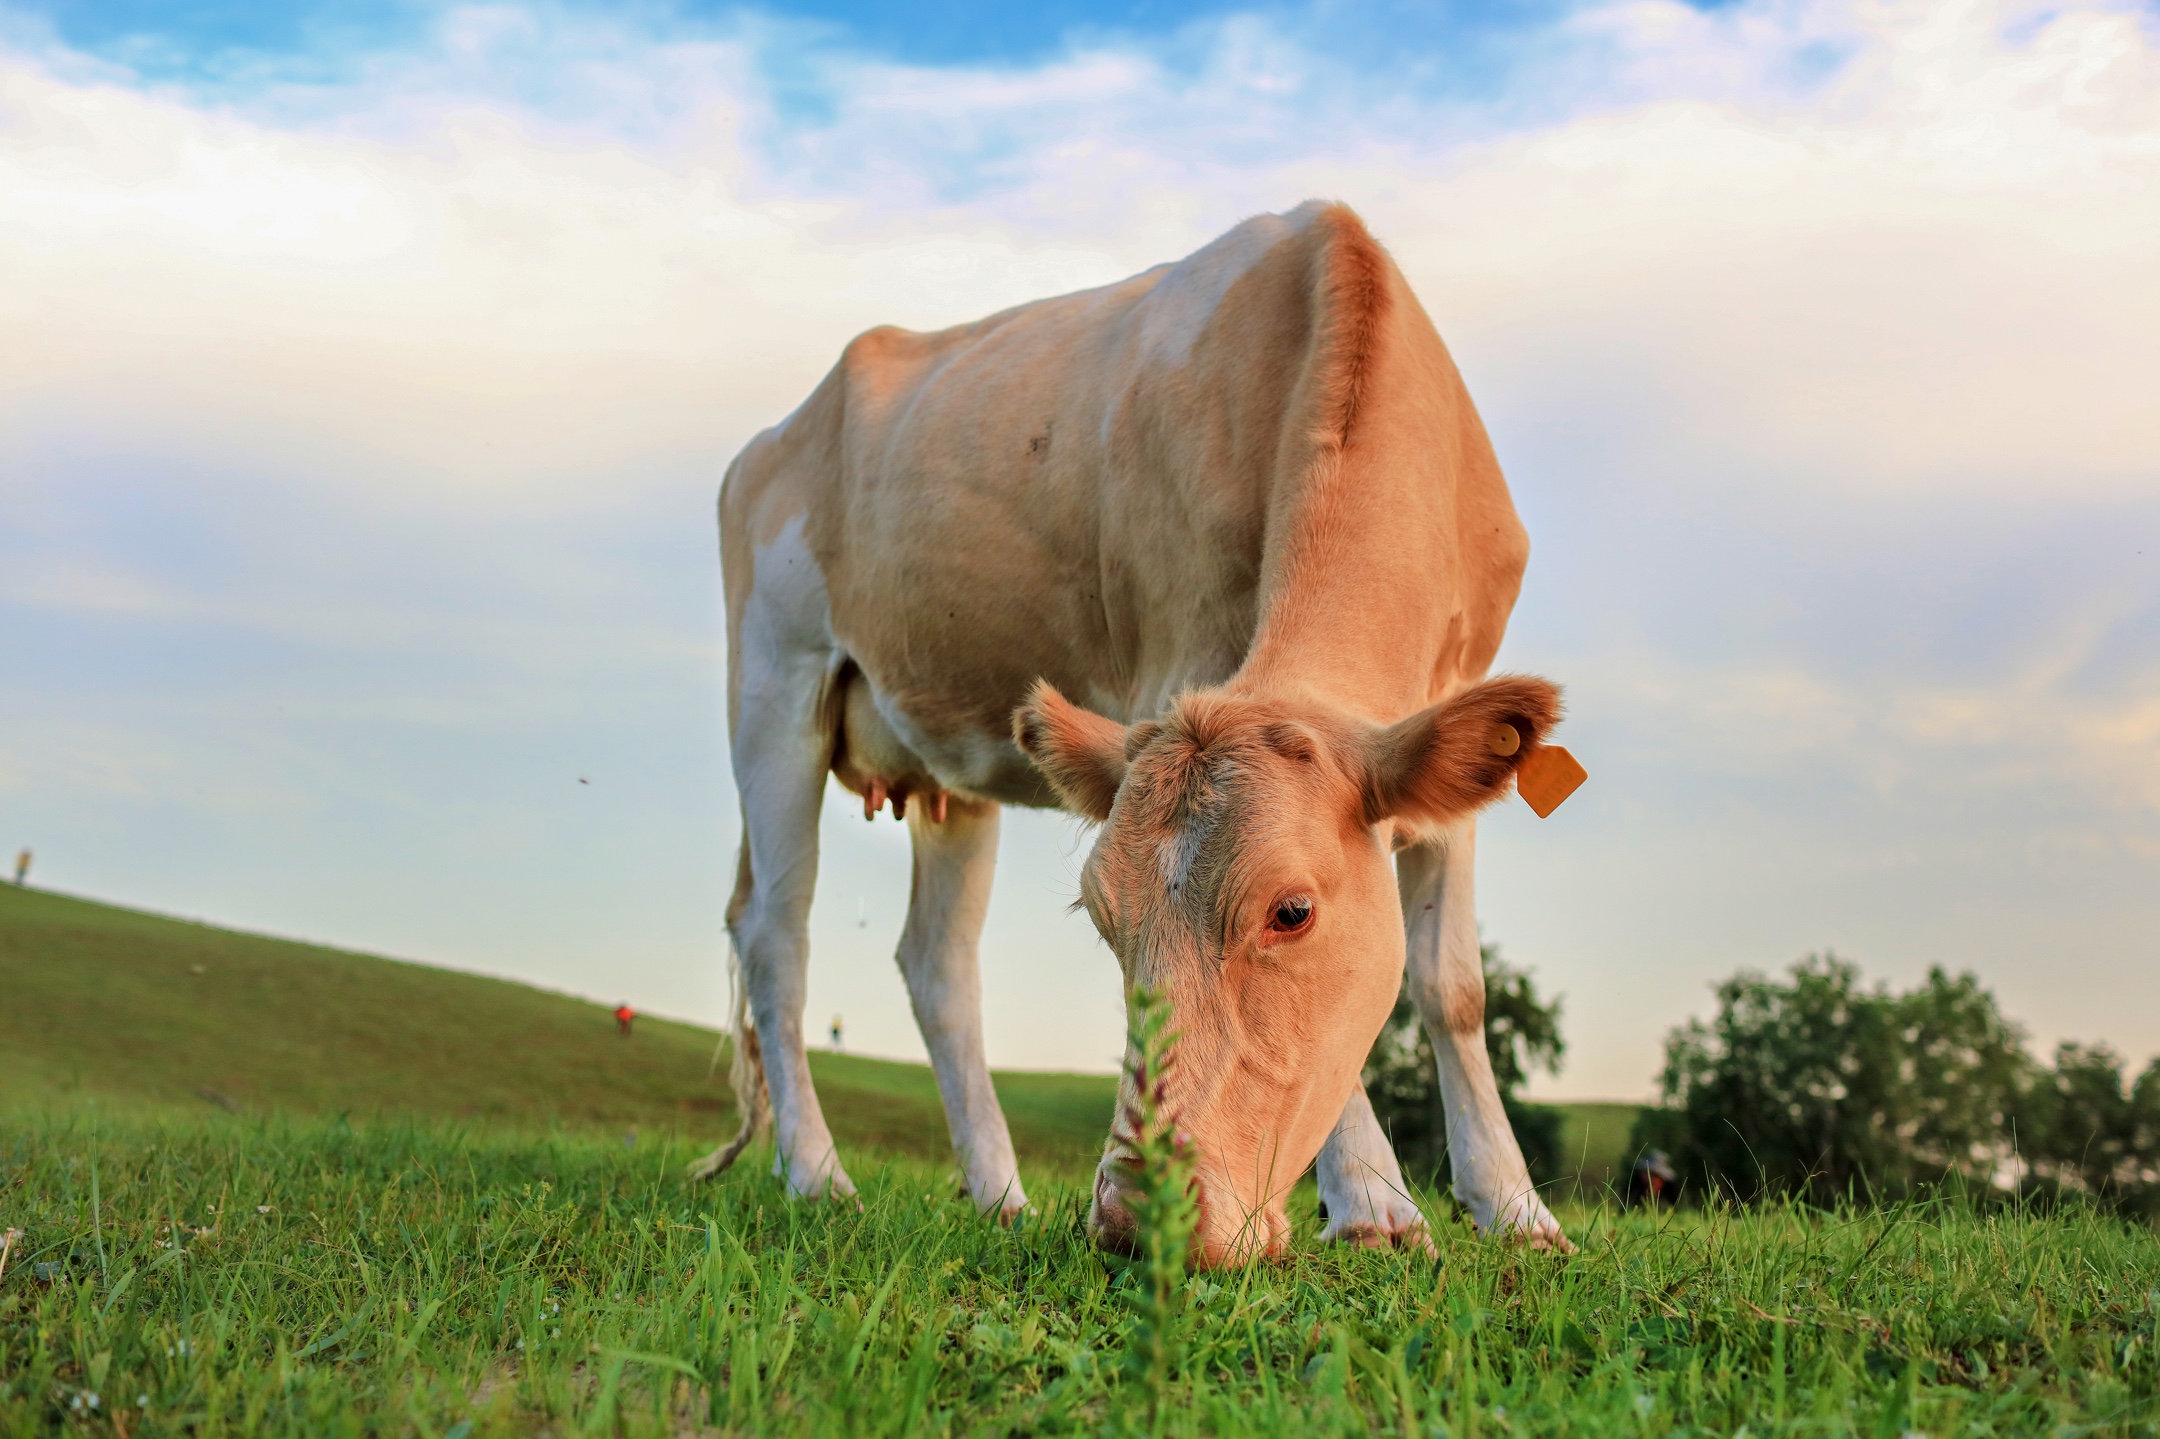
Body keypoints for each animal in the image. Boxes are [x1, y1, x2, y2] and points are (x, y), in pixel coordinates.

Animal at [699, 198, 1581, 1253]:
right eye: (1103, 919)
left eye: (1293, 911)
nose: (1134, 1218)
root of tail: (777, 433)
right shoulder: (1177, 657)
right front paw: (1374, 1202)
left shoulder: (1457, 718)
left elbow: (1454, 989)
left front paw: (1515, 1208)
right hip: (772, 686)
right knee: (775, 934)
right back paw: (817, 1174)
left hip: (946, 756)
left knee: (937, 964)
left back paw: (1000, 1193)